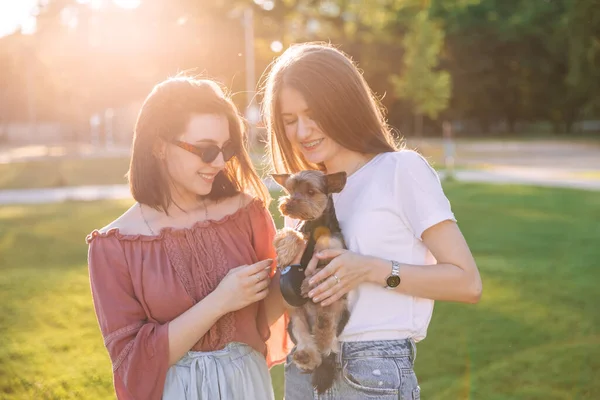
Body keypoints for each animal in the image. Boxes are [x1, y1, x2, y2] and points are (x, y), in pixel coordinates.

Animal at [274, 170, 352, 392]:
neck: (316, 224)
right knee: (306, 340)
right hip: (295, 320)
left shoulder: (335, 251)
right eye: (291, 190)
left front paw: (311, 282)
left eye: (310, 191)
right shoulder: (301, 232)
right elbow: (292, 233)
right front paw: (286, 251)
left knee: (329, 338)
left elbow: (323, 266)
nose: (289, 205)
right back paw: (306, 355)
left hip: (339, 310)